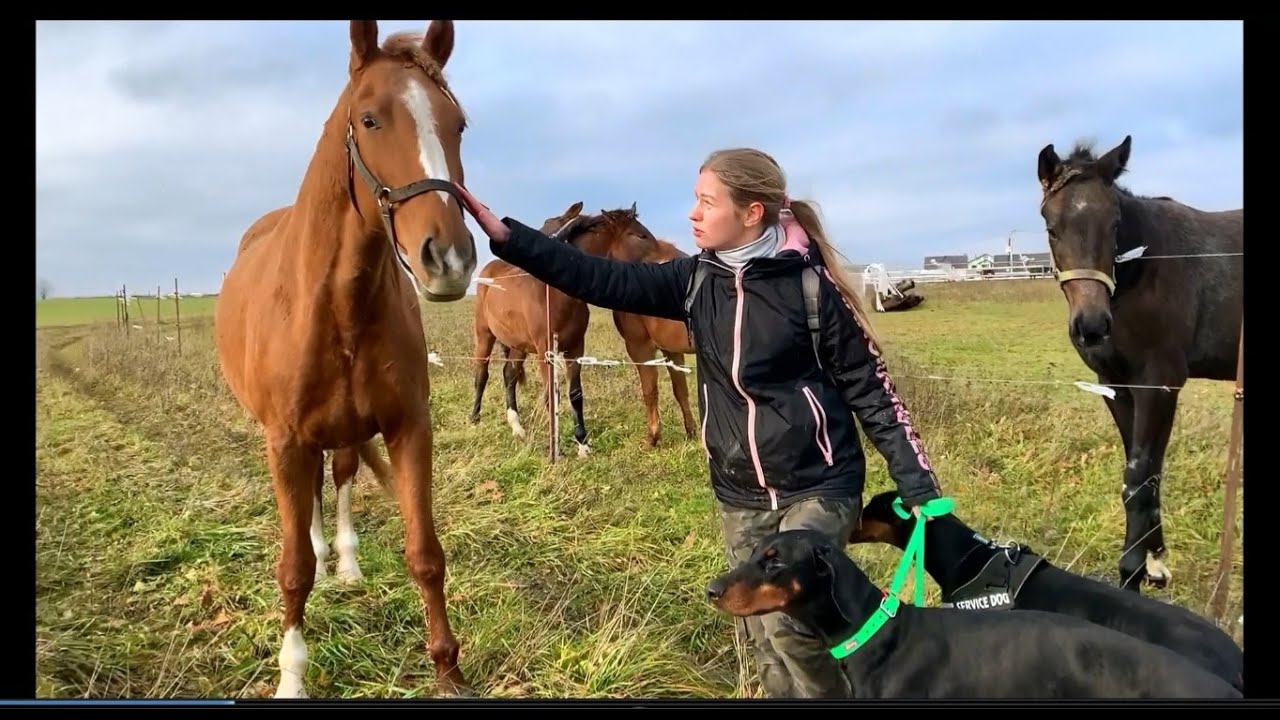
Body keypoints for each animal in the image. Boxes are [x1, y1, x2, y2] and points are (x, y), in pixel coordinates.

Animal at [212, 20, 478, 696]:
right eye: (370, 119)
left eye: (457, 124)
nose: (449, 259)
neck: (336, 305)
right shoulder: (284, 440)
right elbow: (294, 569)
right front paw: (291, 678)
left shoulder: (408, 428)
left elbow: (425, 554)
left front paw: (447, 669)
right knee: (308, 506)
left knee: (342, 477)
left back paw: (348, 560)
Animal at [1039, 133, 1239, 589]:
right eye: (1051, 227)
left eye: (1114, 225)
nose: (1092, 326)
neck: (1146, 271)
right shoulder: (1117, 385)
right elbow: (1147, 469)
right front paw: (1156, 562)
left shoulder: (1159, 382)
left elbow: (1138, 474)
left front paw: (1132, 570)